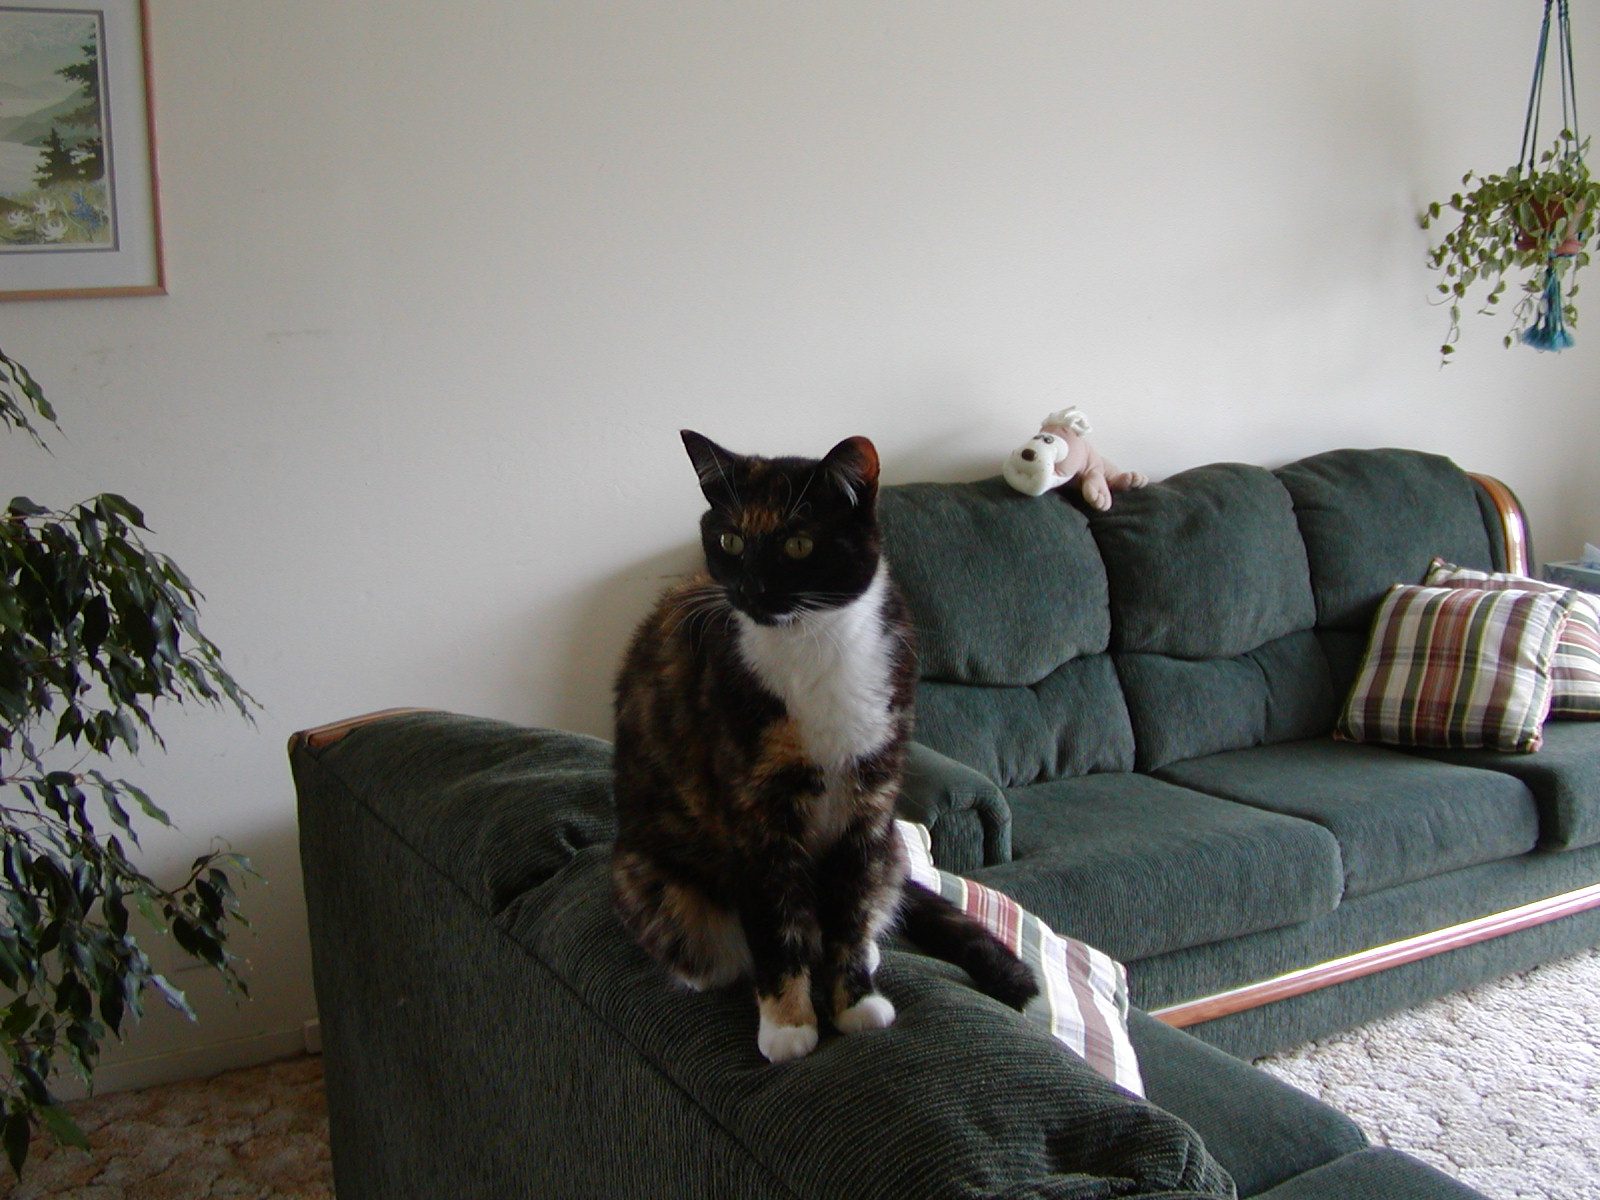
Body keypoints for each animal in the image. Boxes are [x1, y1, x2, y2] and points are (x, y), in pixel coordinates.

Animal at [611, 430, 1038, 1063]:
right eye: (730, 539)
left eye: (798, 544)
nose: (751, 590)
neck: (816, 646)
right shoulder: (755, 812)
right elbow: (774, 920)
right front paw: (788, 1024)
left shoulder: (870, 802)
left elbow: (851, 913)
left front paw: (854, 1002)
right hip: (653, 878)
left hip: (892, 847)